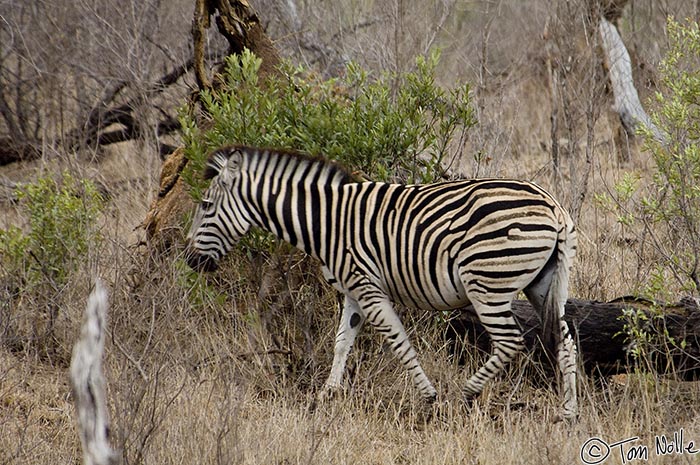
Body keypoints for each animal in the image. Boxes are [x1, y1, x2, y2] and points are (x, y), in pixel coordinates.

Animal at [186, 143, 580, 418]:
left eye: (205, 206)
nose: (190, 261)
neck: (326, 223)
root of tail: (552, 205)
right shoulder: (352, 294)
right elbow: (341, 343)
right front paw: (325, 395)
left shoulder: (368, 289)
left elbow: (400, 345)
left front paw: (430, 398)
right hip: (544, 284)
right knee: (566, 342)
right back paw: (568, 413)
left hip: (487, 284)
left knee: (510, 341)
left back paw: (465, 393)